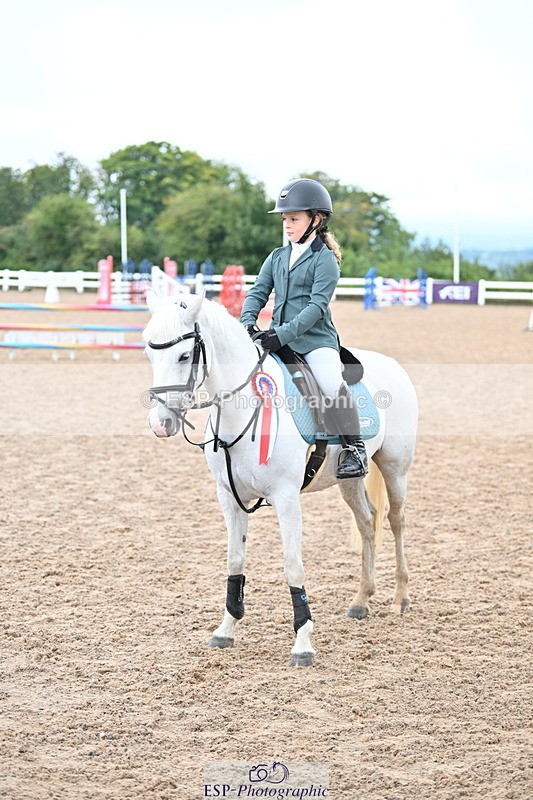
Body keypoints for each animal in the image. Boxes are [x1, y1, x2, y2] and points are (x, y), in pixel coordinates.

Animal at [142, 290, 418, 666]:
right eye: (148, 353)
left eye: (185, 355)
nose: (160, 424)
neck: (242, 411)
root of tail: (392, 364)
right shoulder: (228, 498)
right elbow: (235, 560)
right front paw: (225, 630)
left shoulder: (286, 498)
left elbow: (292, 566)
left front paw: (302, 644)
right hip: (348, 480)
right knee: (367, 522)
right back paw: (361, 600)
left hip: (394, 468)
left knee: (396, 521)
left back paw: (401, 597)